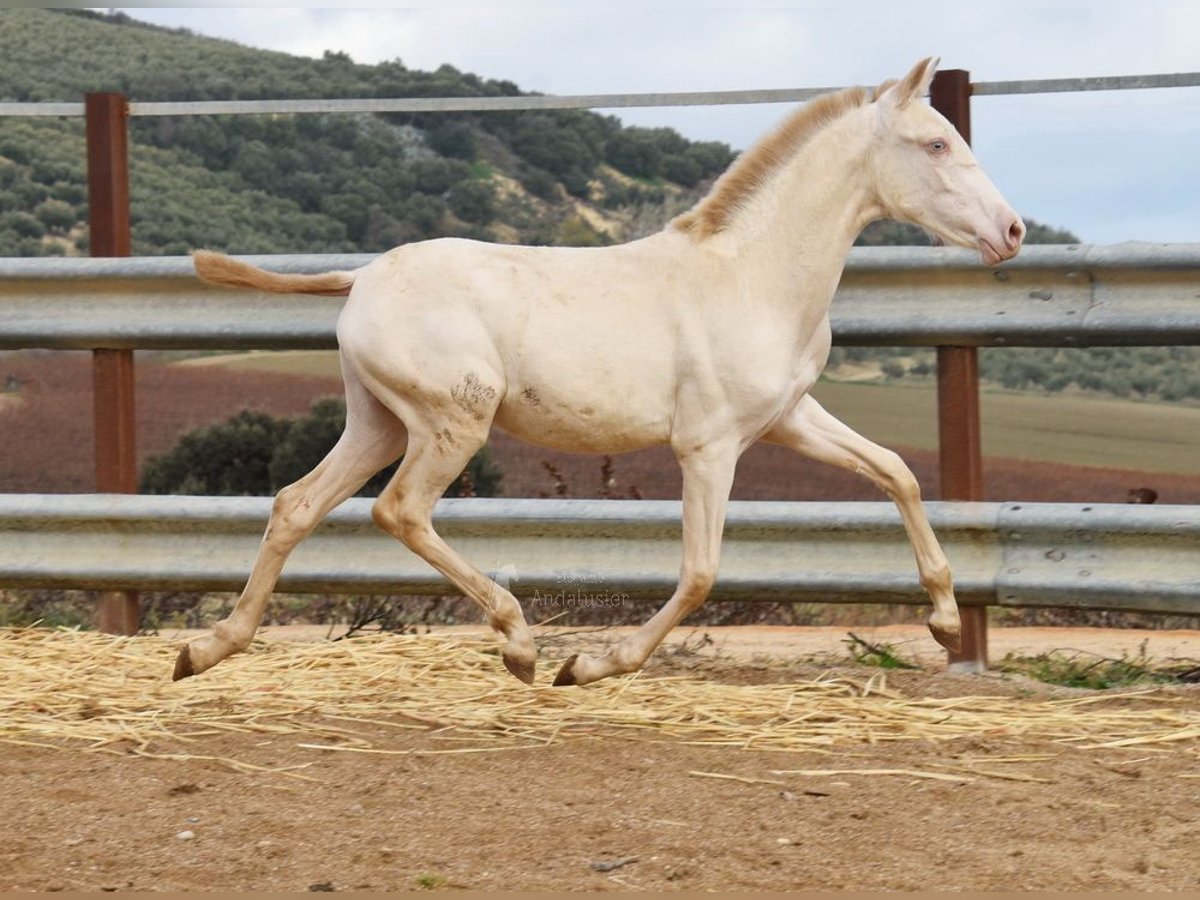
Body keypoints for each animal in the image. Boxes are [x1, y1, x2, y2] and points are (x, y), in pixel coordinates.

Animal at [177, 56, 1022, 686]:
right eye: (936, 144)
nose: (1012, 231)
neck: (752, 277)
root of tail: (361, 278)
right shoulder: (709, 446)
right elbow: (701, 571)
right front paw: (591, 665)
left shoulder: (787, 418)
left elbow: (896, 473)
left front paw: (946, 624)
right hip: (451, 422)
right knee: (400, 511)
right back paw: (519, 644)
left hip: (378, 421)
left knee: (296, 504)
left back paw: (207, 650)